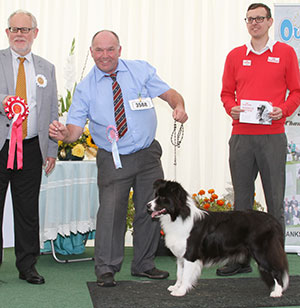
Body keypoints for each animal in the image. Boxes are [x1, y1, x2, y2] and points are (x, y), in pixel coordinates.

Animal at [147, 179, 288, 298]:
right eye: (156, 195)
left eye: (163, 198)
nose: (147, 206)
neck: (179, 216)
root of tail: (272, 220)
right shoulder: (181, 254)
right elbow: (179, 273)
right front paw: (176, 287)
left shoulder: (190, 254)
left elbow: (186, 275)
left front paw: (181, 291)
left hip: (262, 252)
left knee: (277, 270)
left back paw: (277, 292)